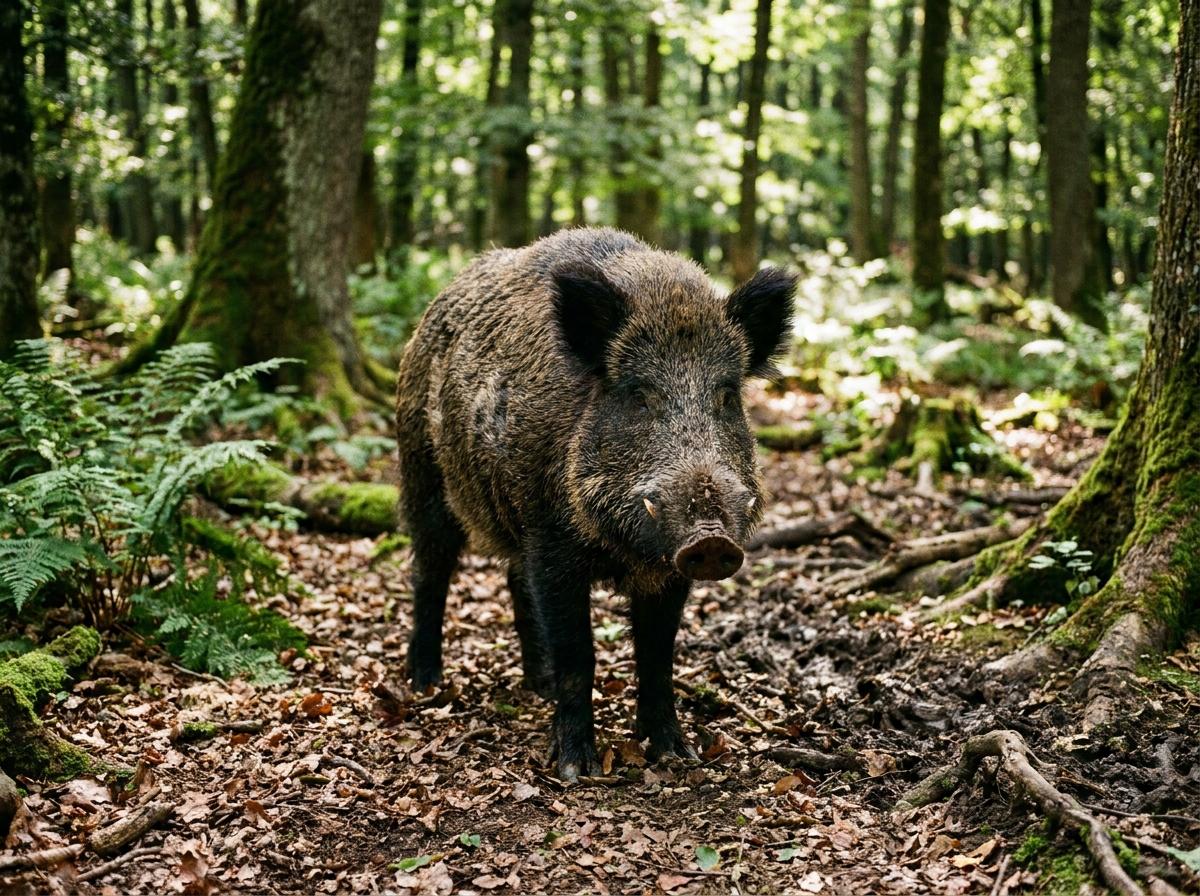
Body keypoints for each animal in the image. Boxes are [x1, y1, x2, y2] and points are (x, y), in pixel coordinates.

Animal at [395, 227, 795, 780]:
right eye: (639, 394)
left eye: (727, 395)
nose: (710, 539)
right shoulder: (553, 542)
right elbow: (578, 652)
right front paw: (574, 768)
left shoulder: (665, 568)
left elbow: (657, 654)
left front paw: (677, 754)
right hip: (424, 475)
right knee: (430, 571)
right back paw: (425, 682)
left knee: (515, 582)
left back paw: (537, 686)